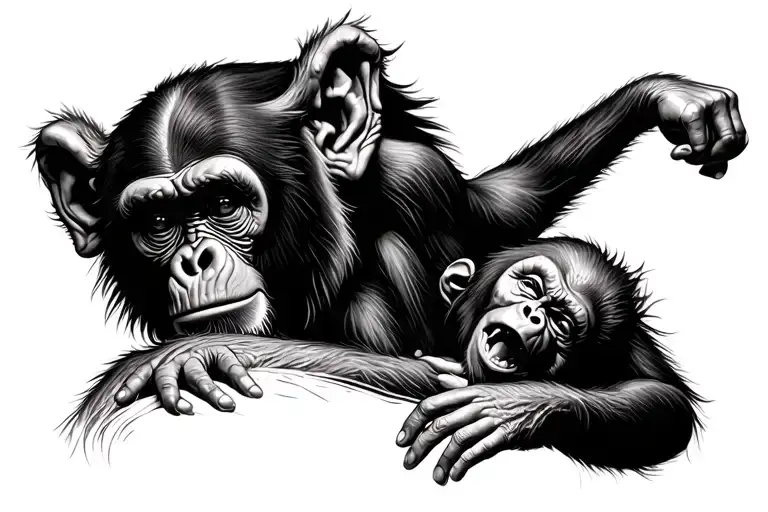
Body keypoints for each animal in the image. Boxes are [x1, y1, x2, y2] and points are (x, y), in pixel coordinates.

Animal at [30, 16, 746, 421]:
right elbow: (501, 211)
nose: (193, 258)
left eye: (223, 205)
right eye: (158, 222)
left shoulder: (417, 181)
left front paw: (200, 355)